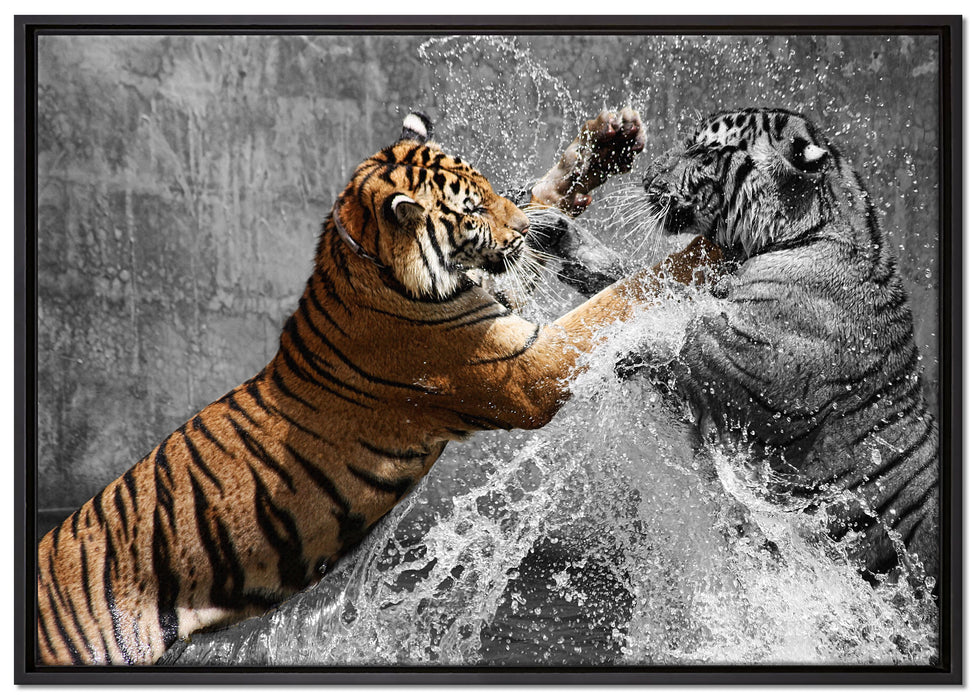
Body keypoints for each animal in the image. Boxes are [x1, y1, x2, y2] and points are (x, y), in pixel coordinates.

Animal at [35, 111, 722, 665]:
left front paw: (609, 141)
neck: (368, 263)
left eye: (489, 189)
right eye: (472, 212)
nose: (523, 235)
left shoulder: (501, 294)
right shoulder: (524, 370)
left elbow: (544, 198)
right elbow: (618, 298)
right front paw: (705, 253)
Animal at [544, 108, 940, 588]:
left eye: (706, 152)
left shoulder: (741, 363)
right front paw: (561, 234)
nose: (648, 176)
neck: (799, 235)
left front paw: (612, 354)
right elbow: (642, 288)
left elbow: (669, 329)